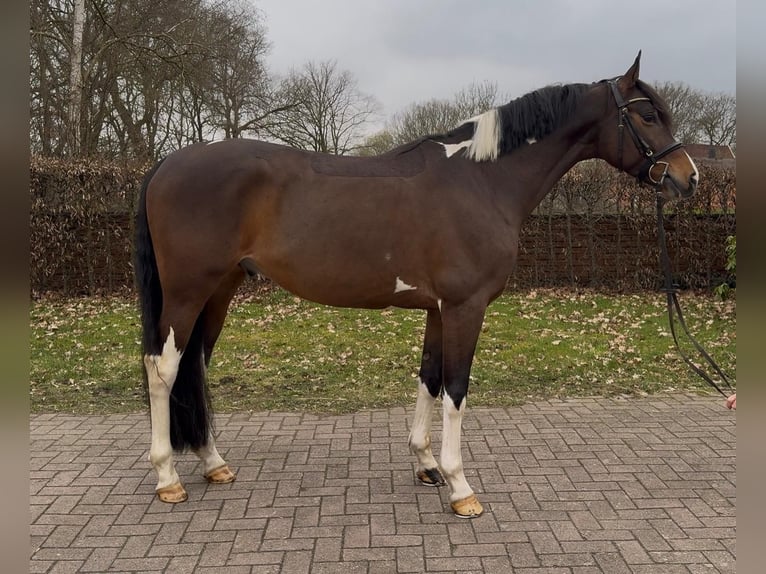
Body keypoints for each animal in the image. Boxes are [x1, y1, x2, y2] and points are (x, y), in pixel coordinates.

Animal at [134, 52, 698, 518]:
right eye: (648, 116)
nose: (687, 177)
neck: (482, 181)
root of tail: (167, 163)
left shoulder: (438, 309)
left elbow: (429, 378)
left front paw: (426, 465)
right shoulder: (466, 306)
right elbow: (456, 388)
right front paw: (460, 487)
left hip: (220, 290)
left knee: (195, 366)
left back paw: (213, 463)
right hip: (188, 291)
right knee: (164, 369)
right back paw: (167, 478)